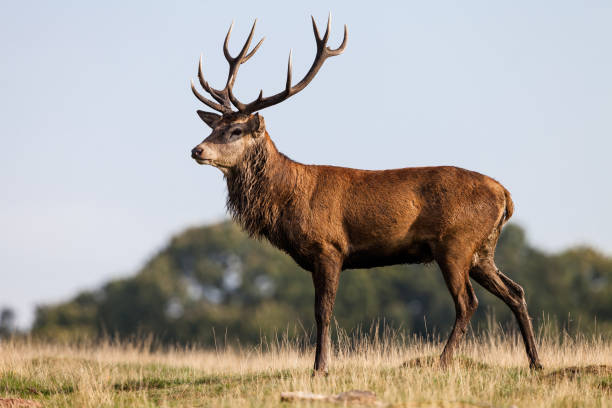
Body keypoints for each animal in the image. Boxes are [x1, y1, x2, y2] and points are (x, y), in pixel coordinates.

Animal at [189, 15, 544, 374]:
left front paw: (320, 367)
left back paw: (442, 362)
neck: (288, 199)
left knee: (467, 302)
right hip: (482, 250)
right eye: (213, 127)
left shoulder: (329, 247)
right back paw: (535, 362)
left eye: (236, 130)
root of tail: (506, 196)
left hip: (455, 242)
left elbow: (323, 312)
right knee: (515, 291)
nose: (197, 150)